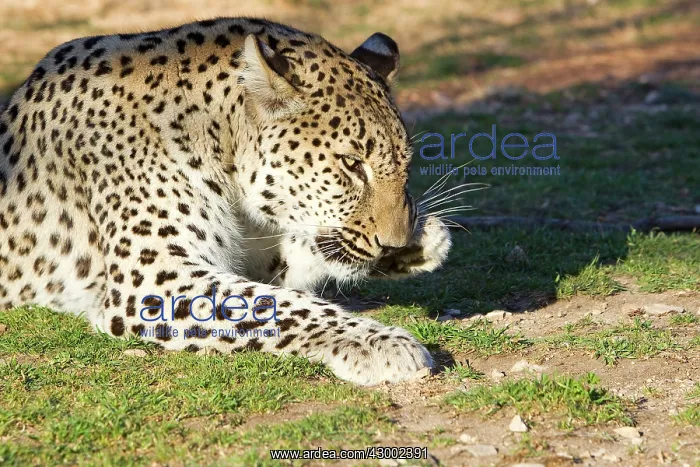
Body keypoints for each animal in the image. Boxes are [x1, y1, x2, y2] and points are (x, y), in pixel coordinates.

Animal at [0, 17, 452, 386]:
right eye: (352, 164)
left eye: (406, 162)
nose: (394, 242)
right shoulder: (150, 276)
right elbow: (279, 304)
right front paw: (380, 342)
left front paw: (423, 239)